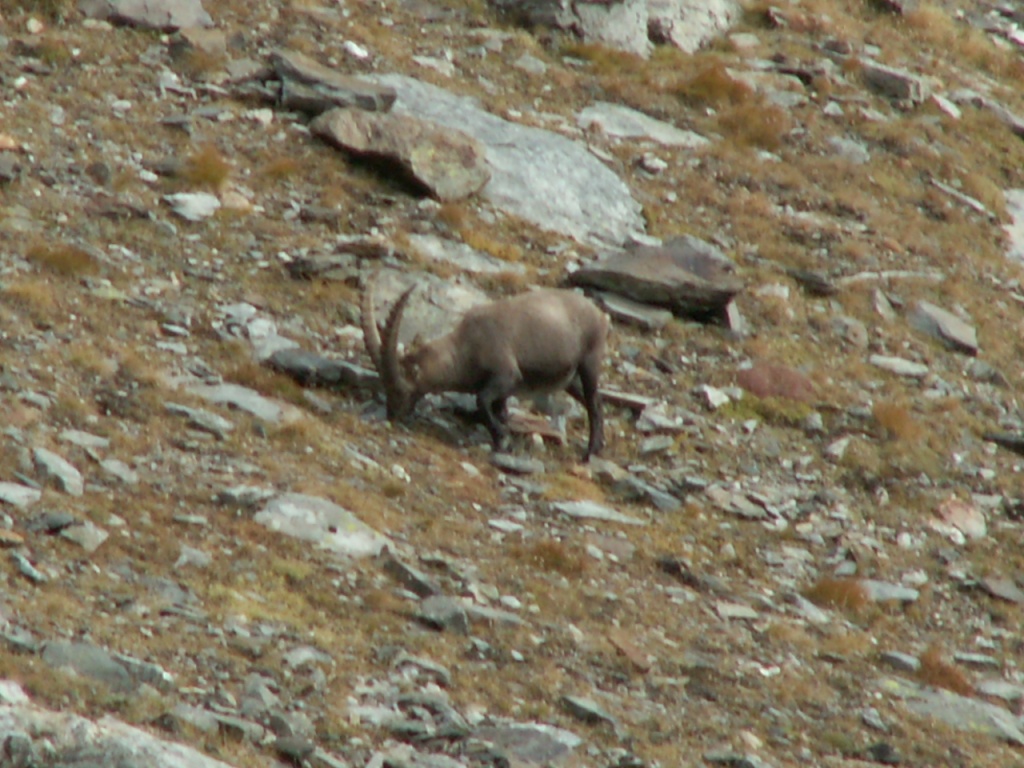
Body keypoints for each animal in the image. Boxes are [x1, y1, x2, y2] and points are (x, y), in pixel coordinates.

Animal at [361, 276, 608, 460]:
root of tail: (600, 315)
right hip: (570, 379)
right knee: (592, 401)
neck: (466, 346)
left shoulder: (506, 375)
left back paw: (590, 452)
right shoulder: (503, 392)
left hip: (589, 362)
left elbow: (482, 400)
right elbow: (500, 411)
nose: (392, 415)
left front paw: (502, 438)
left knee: (594, 402)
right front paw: (504, 440)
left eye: (400, 390)